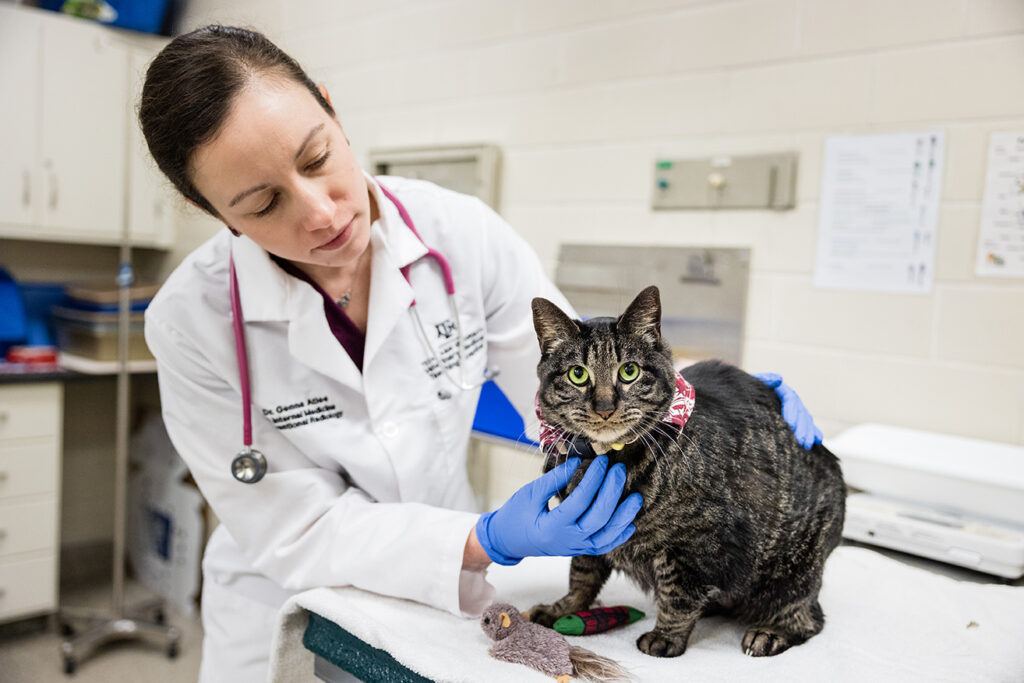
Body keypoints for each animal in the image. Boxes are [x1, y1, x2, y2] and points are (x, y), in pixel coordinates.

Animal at [524, 286, 843, 659]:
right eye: (578, 374)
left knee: (809, 617)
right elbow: (581, 576)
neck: (604, 460)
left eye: (629, 371)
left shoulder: (693, 545)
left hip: (792, 574)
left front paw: (665, 637)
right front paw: (563, 609)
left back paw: (769, 632)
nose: (604, 407)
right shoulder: (582, 530)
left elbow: (677, 595)